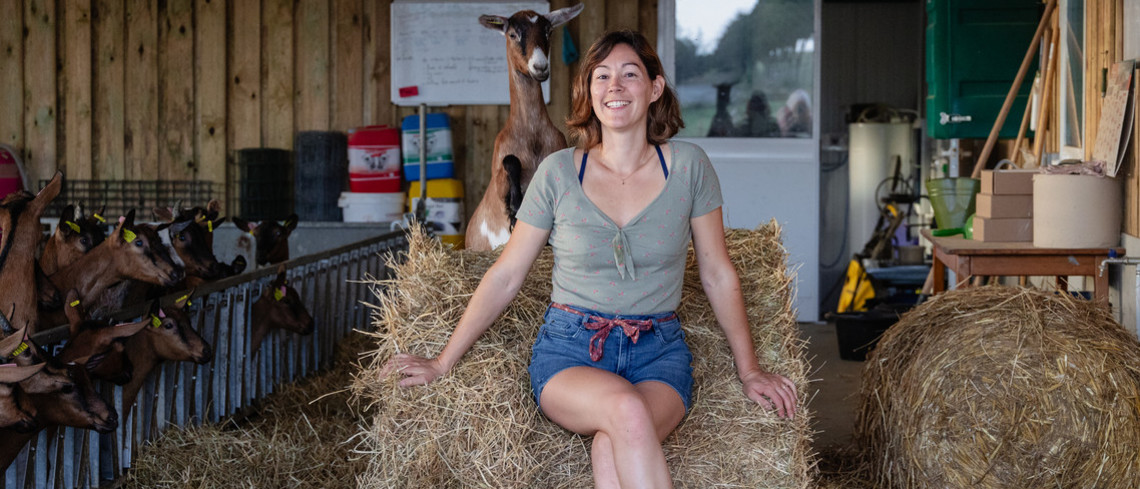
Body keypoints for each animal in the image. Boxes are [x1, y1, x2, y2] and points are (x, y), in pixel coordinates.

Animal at [465, 5, 583, 251]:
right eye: (512, 34)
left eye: (548, 31)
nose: (540, 66)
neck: (532, 137)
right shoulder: (497, 180)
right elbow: (511, 161)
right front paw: (515, 208)